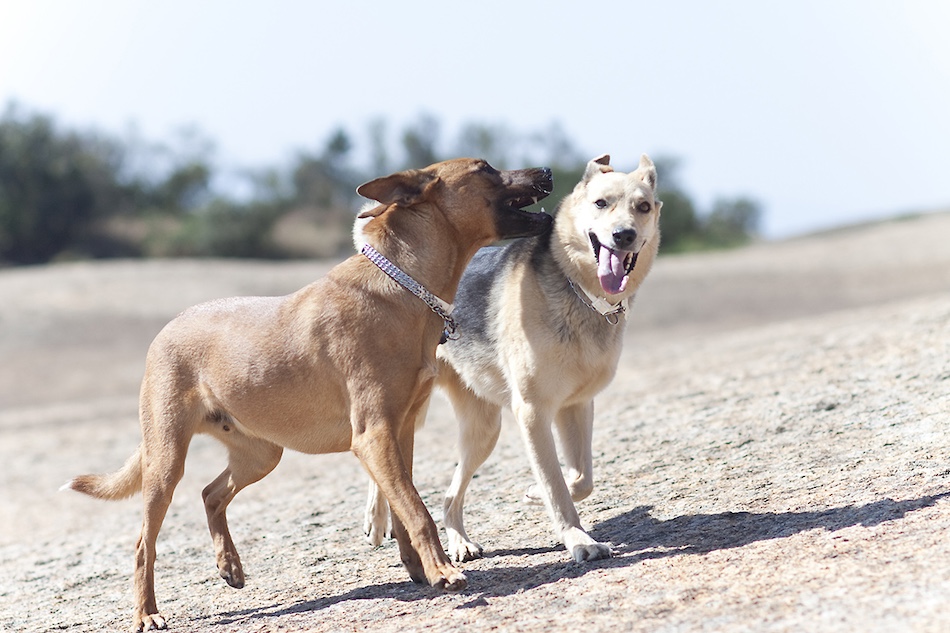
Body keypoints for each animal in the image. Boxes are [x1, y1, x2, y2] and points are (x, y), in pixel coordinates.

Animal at [67, 157, 556, 628]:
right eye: (484, 168)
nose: (548, 171)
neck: (404, 286)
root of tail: (166, 330)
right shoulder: (375, 436)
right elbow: (416, 510)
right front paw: (443, 572)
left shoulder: (401, 432)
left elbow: (403, 507)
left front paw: (419, 568)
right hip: (166, 461)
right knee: (142, 544)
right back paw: (147, 612)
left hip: (261, 454)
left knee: (211, 493)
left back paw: (230, 565)